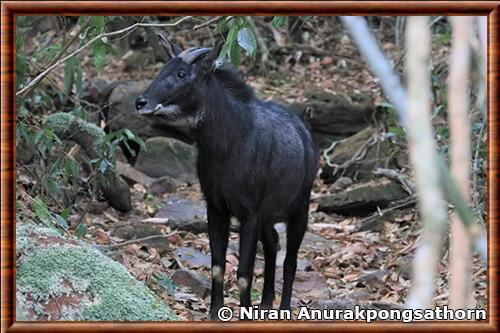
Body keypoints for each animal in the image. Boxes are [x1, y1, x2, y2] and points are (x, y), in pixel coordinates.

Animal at [135, 33, 318, 316]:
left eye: (181, 73)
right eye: (163, 68)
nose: (141, 102)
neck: (228, 143)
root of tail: (306, 135)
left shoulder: (249, 212)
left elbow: (244, 272)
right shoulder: (216, 207)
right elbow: (217, 265)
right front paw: (214, 312)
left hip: (299, 208)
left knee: (290, 260)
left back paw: (284, 307)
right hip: (268, 216)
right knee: (273, 244)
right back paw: (266, 303)